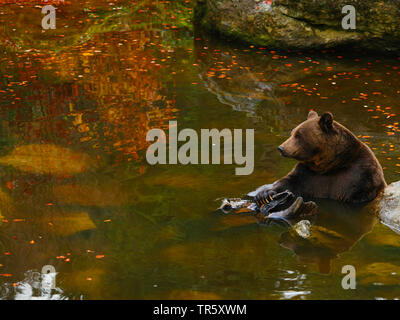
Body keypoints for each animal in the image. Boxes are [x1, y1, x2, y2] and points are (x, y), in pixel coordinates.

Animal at [255, 111, 386, 204]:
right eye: (292, 132)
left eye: (298, 135)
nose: (281, 148)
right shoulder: (307, 173)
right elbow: (288, 181)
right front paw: (263, 194)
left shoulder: (359, 175)